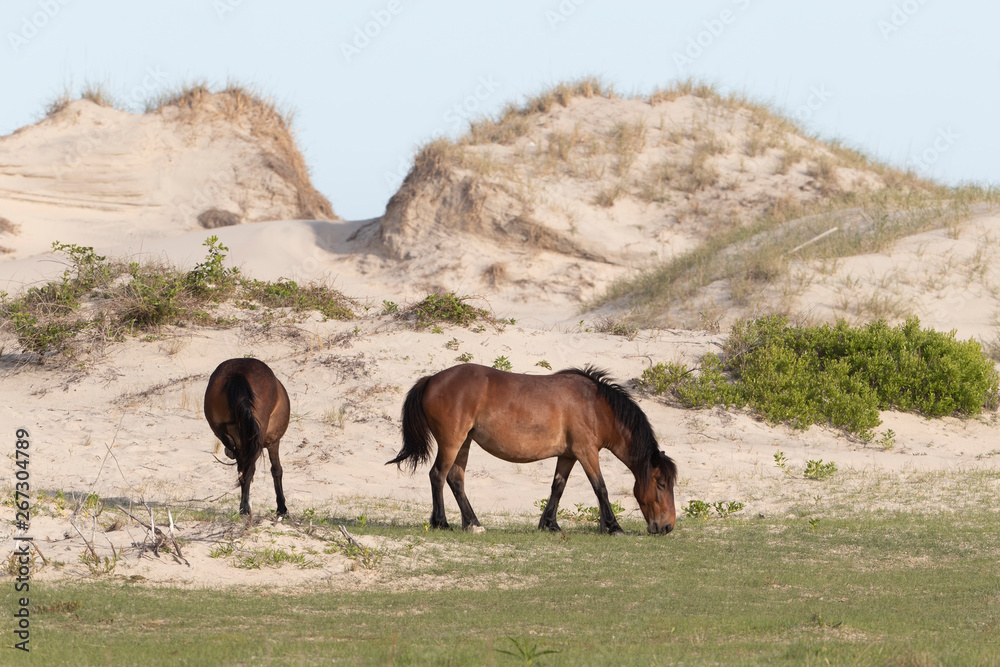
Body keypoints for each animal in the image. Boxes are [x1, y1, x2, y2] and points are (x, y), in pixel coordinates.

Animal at [203, 358, 290, 520]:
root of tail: (238, 373)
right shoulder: (273, 442)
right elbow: (276, 470)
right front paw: (282, 508)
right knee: (248, 468)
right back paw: (245, 508)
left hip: (218, 424)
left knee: (234, 452)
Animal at [386, 362, 676, 536]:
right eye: (661, 484)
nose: (667, 526)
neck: (594, 406)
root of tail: (432, 379)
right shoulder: (586, 452)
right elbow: (600, 488)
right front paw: (613, 526)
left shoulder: (568, 455)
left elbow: (558, 487)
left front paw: (550, 524)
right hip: (451, 442)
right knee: (438, 475)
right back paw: (441, 522)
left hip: (464, 443)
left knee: (456, 479)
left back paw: (473, 523)